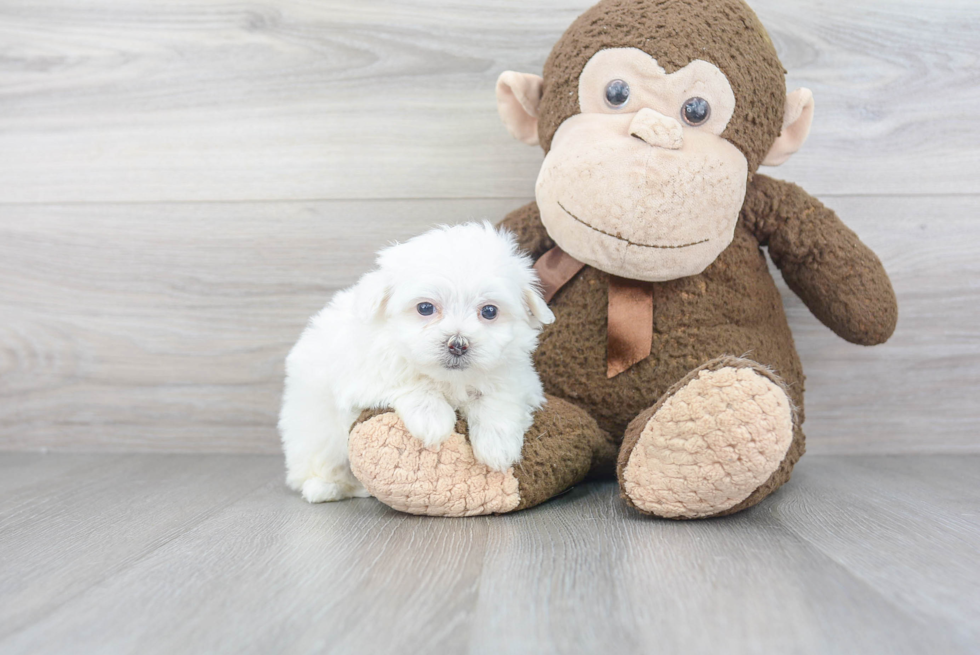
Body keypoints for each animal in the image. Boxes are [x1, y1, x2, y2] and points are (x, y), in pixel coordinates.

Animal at [280, 223, 556, 504]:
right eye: (425, 308)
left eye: (489, 311)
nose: (458, 343)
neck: (450, 379)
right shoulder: (362, 373)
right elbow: (411, 382)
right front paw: (433, 419)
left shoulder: (519, 378)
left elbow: (498, 398)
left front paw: (498, 445)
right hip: (316, 434)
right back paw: (324, 487)